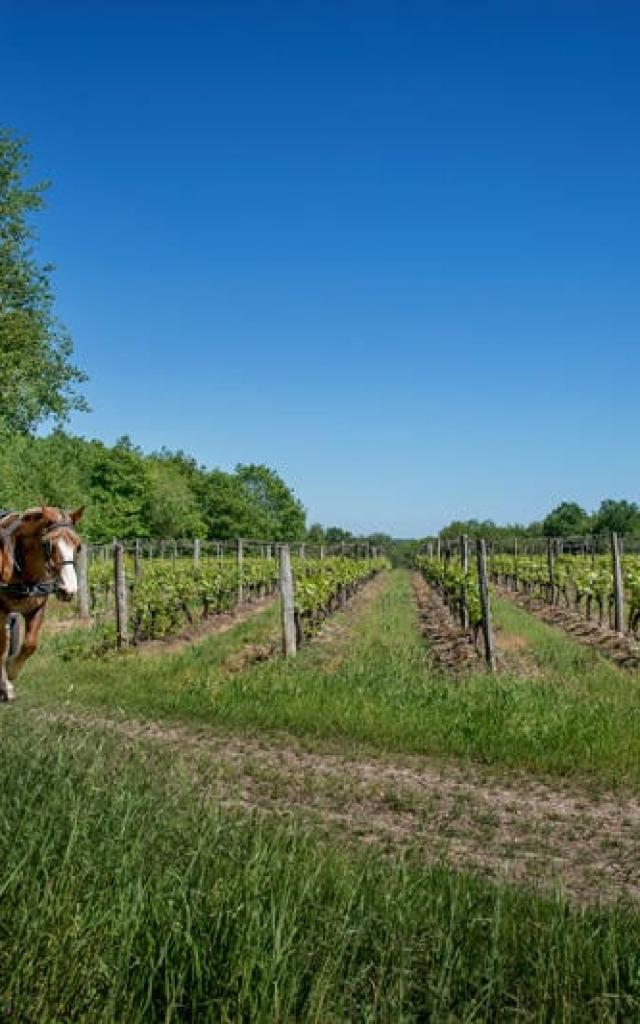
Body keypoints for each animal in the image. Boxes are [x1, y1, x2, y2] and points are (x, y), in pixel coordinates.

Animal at [0, 505, 83, 700]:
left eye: (78, 546)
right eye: (47, 544)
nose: (69, 589)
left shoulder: (37, 608)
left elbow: (30, 644)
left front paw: (11, 671)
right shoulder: (0, 611)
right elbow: (2, 647)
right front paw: (5, 685)